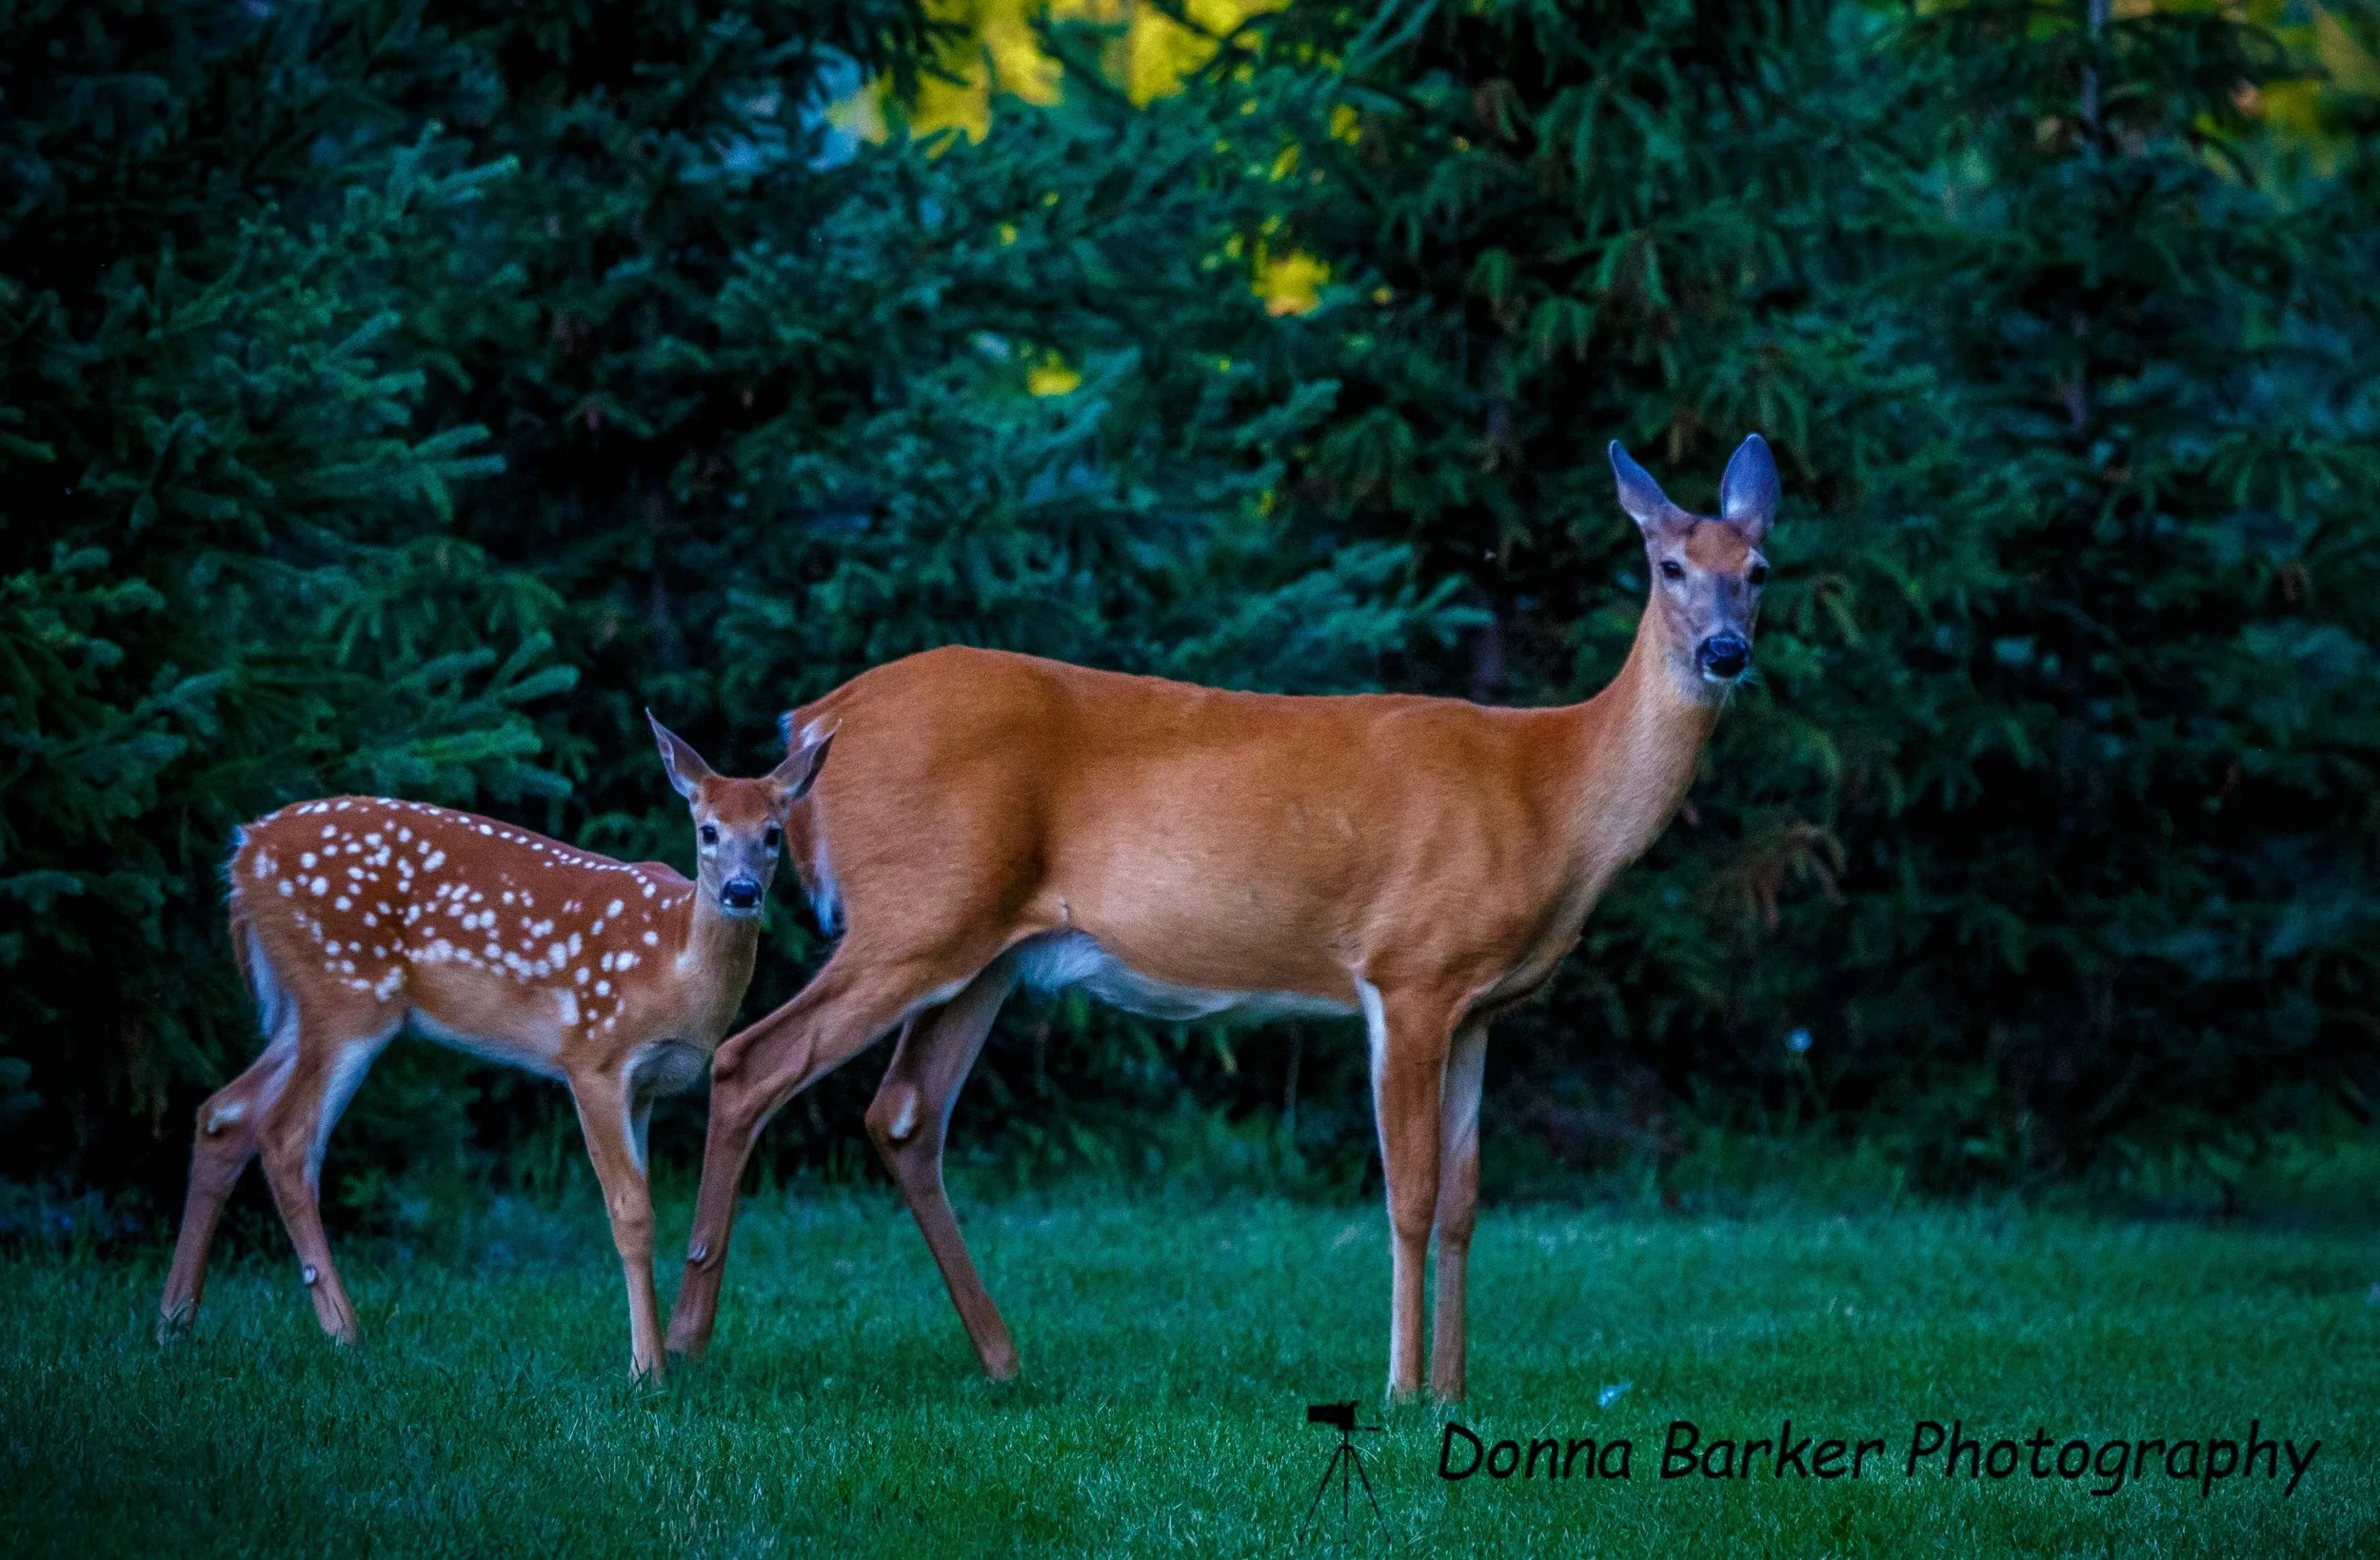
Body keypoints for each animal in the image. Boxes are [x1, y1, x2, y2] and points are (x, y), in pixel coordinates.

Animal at [155, 714, 834, 1380]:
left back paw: (173, 1325)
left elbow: (646, 1206)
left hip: (305, 1007)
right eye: (708, 830)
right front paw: (648, 1373)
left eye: (774, 834)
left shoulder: (645, 1087)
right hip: (345, 992)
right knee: (287, 1137)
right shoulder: (593, 1057)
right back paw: (345, 1334)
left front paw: (657, 1360)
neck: (672, 965)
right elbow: (631, 1212)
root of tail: (244, 853)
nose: (742, 891)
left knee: (225, 1113)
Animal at [663, 434, 1779, 1402]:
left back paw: (1003, 1359)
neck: (1551, 798)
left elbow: (1466, 1201)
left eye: (1760, 569)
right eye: (1671, 565)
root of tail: (815, 724)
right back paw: (683, 1343)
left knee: (902, 1114)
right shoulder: (1409, 969)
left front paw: (1456, 1389)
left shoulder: (1482, 1007)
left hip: (979, 947)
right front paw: (1403, 1390)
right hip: (913, 914)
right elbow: (1410, 1193)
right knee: (752, 1061)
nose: (1725, 651)